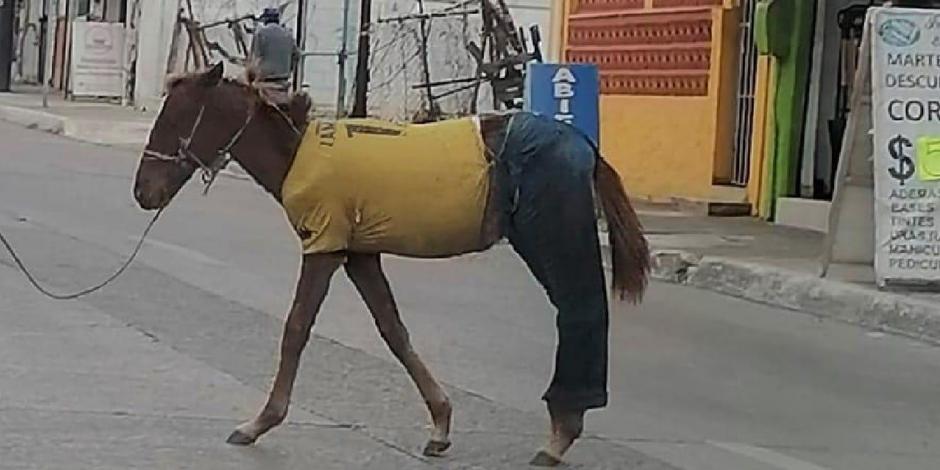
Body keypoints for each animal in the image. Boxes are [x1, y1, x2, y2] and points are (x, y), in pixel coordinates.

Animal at [132, 62, 650, 467]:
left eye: (178, 117)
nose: (143, 192)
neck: (299, 154)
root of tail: (579, 140)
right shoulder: (357, 253)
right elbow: (393, 330)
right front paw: (440, 423)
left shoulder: (324, 246)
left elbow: (296, 328)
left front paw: (260, 422)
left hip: (550, 235)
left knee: (580, 308)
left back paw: (561, 433)